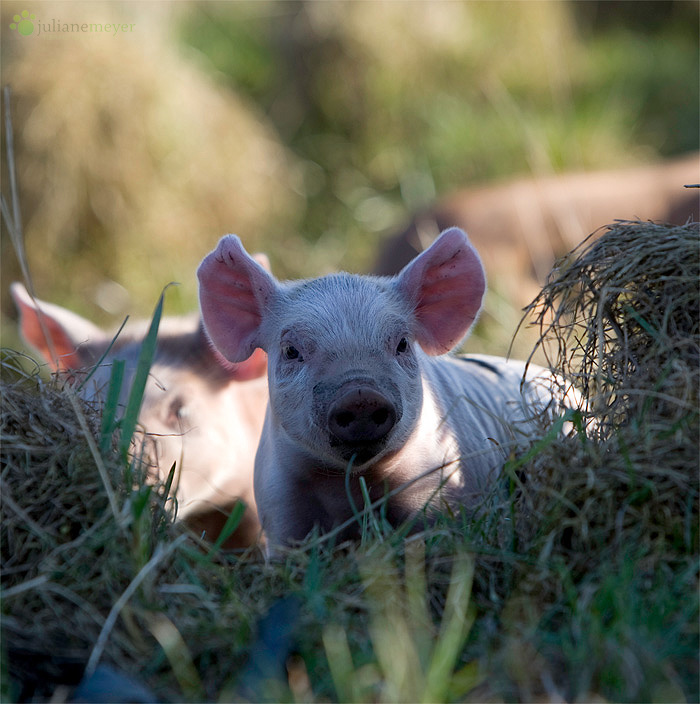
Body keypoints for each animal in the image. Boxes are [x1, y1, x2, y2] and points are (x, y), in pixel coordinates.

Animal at [197, 228, 576, 552]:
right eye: (291, 351)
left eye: (403, 344)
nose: (360, 396)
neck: (352, 485)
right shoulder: (279, 505)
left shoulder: (438, 483)